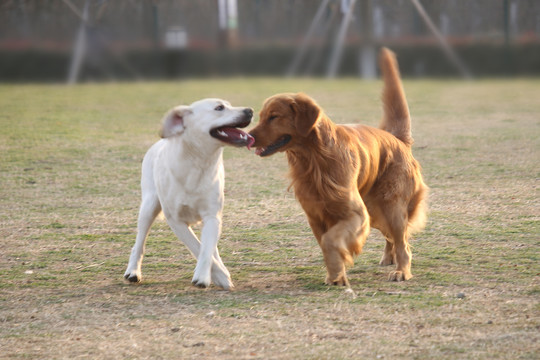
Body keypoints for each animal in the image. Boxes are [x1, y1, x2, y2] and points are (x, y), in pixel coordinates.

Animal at [124, 98, 255, 290]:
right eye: (219, 108)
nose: (250, 111)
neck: (199, 162)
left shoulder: (212, 216)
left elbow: (206, 248)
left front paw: (211, 275)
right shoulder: (175, 221)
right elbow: (196, 246)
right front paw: (216, 276)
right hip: (149, 206)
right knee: (139, 243)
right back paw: (133, 272)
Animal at [247, 47, 428, 286]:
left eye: (273, 117)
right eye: (260, 117)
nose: (248, 137)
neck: (314, 160)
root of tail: (397, 139)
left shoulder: (355, 213)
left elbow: (331, 240)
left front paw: (339, 271)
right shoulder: (315, 216)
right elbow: (325, 244)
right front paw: (336, 274)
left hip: (391, 206)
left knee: (403, 242)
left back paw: (401, 270)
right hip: (376, 211)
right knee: (393, 237)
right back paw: (389, 258)